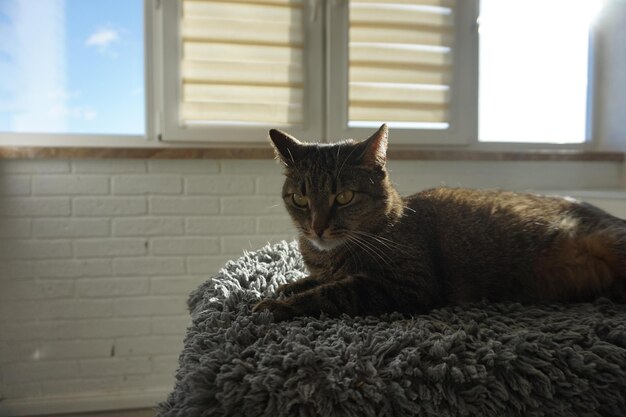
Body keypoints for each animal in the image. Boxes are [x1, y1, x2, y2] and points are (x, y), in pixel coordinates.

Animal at [252, 124, 624, 322]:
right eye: (300, 199)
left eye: (344, 197)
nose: (317, 227)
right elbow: (312, 281)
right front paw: (286, 286)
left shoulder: (407, 283)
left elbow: (332, 293)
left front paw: (275, 305)